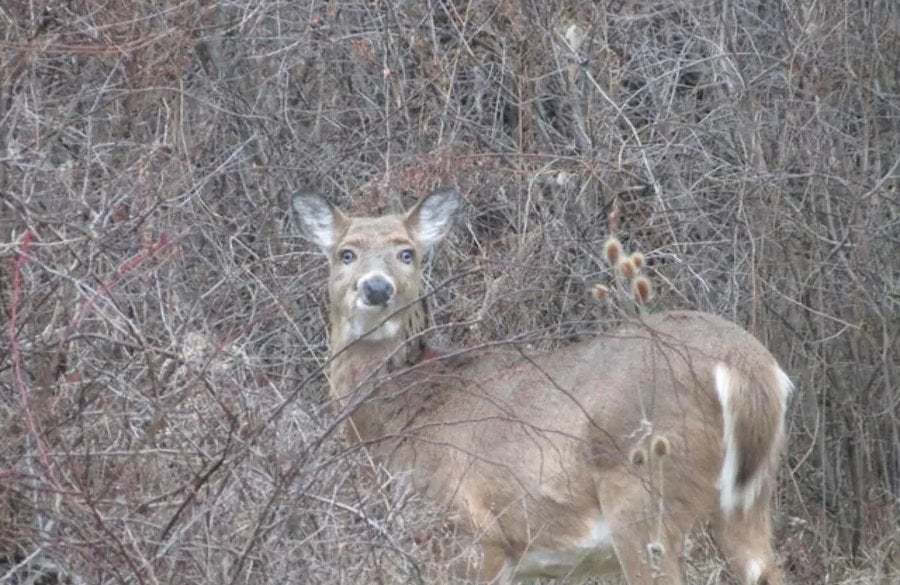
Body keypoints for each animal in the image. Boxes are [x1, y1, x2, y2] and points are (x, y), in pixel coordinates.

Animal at [292, 188, 792, 584]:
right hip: (750, 496)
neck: (408, 410)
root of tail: (749, 365)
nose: (376, 288)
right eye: (346, 253)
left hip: (643, 492)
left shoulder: (470, 535)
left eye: (406, 253)